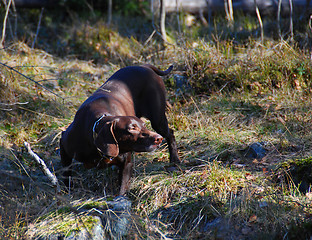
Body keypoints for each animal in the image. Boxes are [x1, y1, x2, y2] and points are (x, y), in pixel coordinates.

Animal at [60, 63, 180, 195]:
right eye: (132, 128)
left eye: (144, 125)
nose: (158, 139)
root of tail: (144, 66)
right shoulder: (64, 144)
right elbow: (66, 174)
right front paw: (66, 192)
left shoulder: (126, 164)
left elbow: (122, 190)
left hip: (158, 120)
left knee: (170, 133)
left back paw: (175, 159)